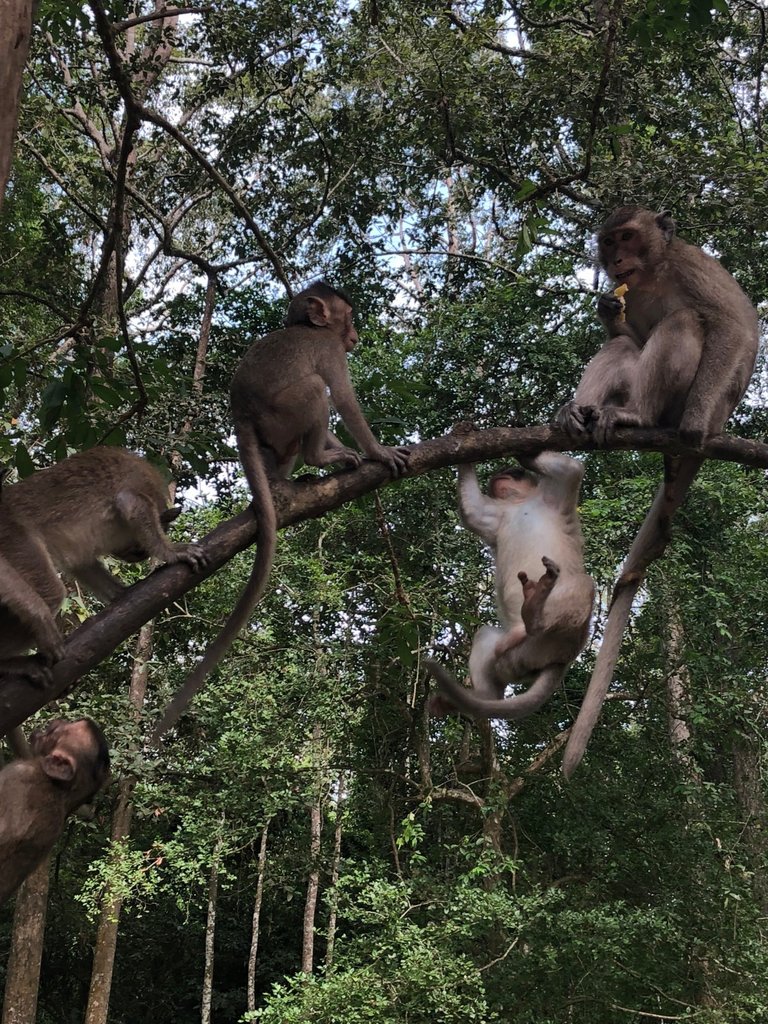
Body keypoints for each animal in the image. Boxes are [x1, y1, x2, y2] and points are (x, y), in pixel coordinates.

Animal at [0, 442, 208, 675]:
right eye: (140, 551)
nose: (135, 558)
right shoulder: (139, 491)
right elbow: (130, 502)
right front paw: (171, 552)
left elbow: (81, 564)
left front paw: (122, 594)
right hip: (12, 534)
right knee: (50, 595)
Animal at [152, 280, 411, 745]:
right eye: (349, 318)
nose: (355, 335)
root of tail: (240, 414)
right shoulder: (329, 349)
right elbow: (343, 397)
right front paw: (378, 451)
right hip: (282, 411)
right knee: (314, 389)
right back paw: (317, 456)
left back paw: (286, 482)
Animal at [428, 452, 593, 724]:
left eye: (514, 472)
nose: (500, 474)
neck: (518, 503)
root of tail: (560, 661)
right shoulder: (496, 515)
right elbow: (474, 511)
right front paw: (462, 444)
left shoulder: (556, 494)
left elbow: (570, 469)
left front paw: (525, 453)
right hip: (518, 659)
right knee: (487, 639)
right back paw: (480, 697)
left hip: (561, 637)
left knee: (583, 583)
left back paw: (535, 614)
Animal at [557, 207, 761, 774]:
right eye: (609, 242)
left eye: (628, 236)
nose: (616, 259)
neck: (652, 271)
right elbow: (626, 330)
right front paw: (607, 308)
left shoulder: (691, 265)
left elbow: (736, 323)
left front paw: (692, 423)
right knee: (624, 347)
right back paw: (577, 415)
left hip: (694, 399)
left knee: (684, 324)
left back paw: (642, 417)